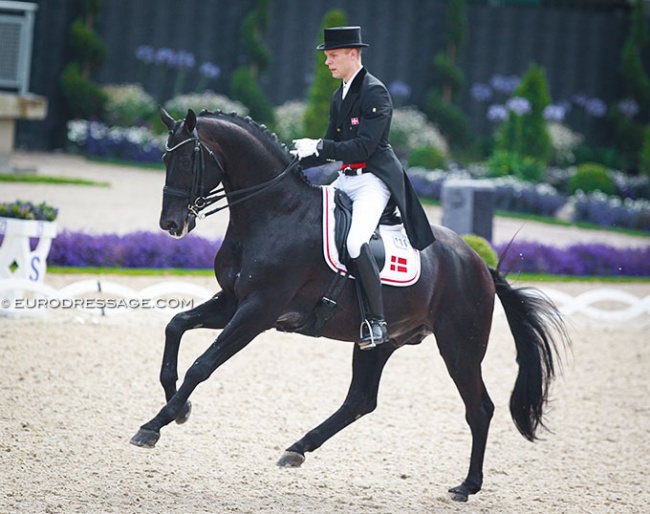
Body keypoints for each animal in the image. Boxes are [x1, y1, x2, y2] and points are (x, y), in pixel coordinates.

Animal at [130, 107, 568, 500]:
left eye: (188, 159)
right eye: (166, 159)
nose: (171, 225)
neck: (275, 212)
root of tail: (479, 263)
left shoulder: (257, 311)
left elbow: (203, 364)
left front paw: (154, 425)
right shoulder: (232, 301)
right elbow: (175, 325)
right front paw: (178, 408)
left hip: (460, 348)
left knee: (479, 409)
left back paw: (467, 486)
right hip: (380, 342)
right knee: (360, 400)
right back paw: (297, 449)